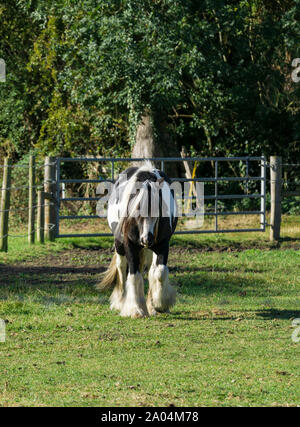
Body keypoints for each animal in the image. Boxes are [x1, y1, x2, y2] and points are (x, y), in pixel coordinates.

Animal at [98, 161, 177, 318]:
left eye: (158, 209)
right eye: (138, 209)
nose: (147, 239)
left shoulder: (163, 245)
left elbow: (159, 272)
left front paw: (160, 304)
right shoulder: (130, 245)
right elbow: (133, 276)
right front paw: (135, 310)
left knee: (151, 270)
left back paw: (150, 306)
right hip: (120, 245)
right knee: (121, 268)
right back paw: (120, 302)